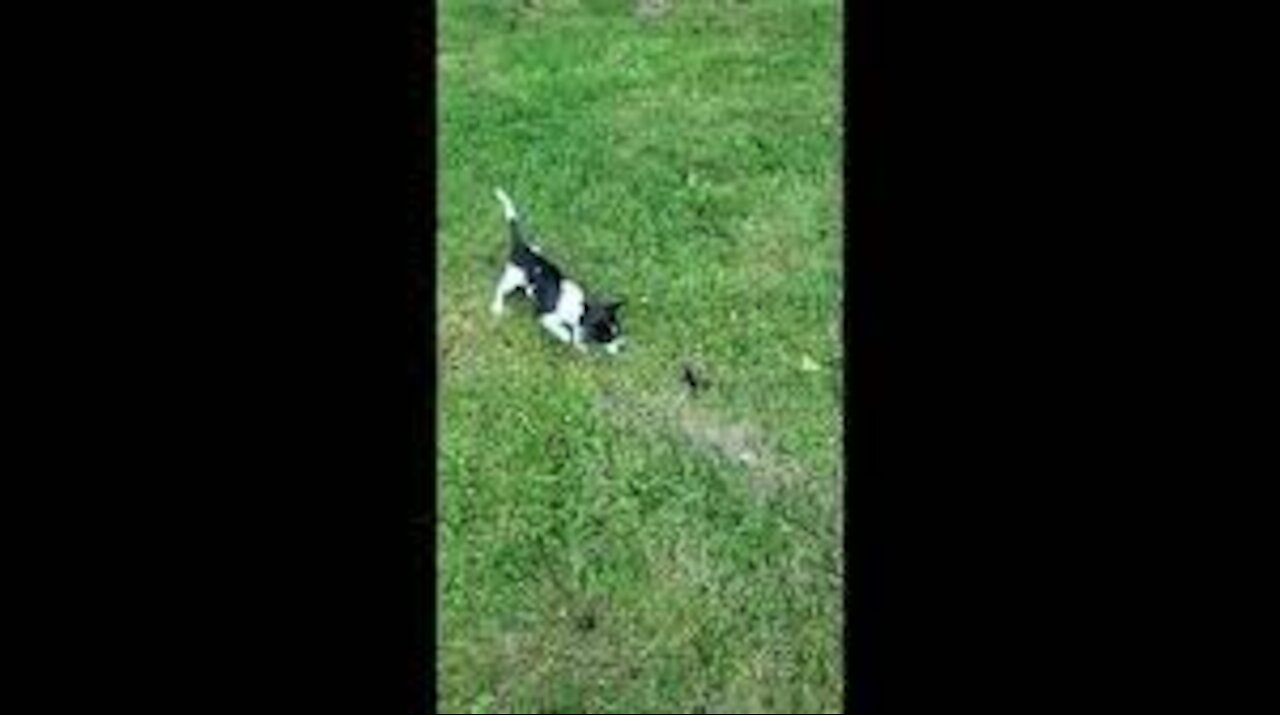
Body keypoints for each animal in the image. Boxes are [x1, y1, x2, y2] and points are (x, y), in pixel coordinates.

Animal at [488, 188, 624, 355]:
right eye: (607, 337)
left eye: (617, 332)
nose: (621, 347)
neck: (581, 309)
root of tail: (523, 248)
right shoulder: (547, 317)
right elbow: (565, 332)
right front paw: (566, 337)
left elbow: (577, 333)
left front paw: (580, 345)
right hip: (513, 277)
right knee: (500, 289)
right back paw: (497, 306)